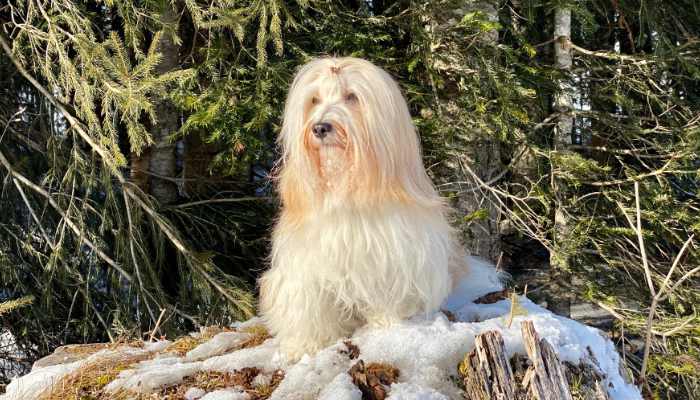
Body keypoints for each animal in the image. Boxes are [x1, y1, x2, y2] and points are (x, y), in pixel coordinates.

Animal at [258, 56, 470, 360]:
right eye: (314, 100)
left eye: (351, 97)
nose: (320, 127)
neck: (346, 188)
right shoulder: (305, 265)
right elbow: (309, 306)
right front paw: (305, 345)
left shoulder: (398, 256)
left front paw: (387, 326)